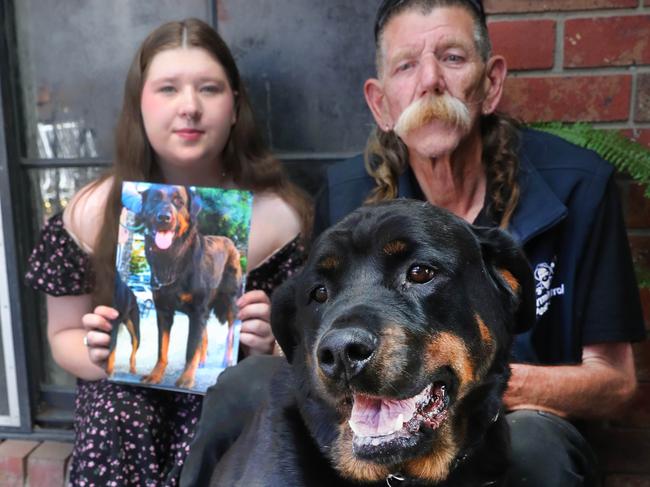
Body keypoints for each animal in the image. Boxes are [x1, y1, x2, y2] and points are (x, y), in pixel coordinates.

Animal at [135, 183, 242, 388]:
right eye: (155, 199)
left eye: (179, 201)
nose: (164, 218)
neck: (172, 258)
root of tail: (230, 241)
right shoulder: (163, 311)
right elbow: (162, 348)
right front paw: (155, 375)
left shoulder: (197, 311)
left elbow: (191, 348)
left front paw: (186, 379)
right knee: (205, 333)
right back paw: (202, 360)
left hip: (231, 300)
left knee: (231, 332)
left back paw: (227, 360)